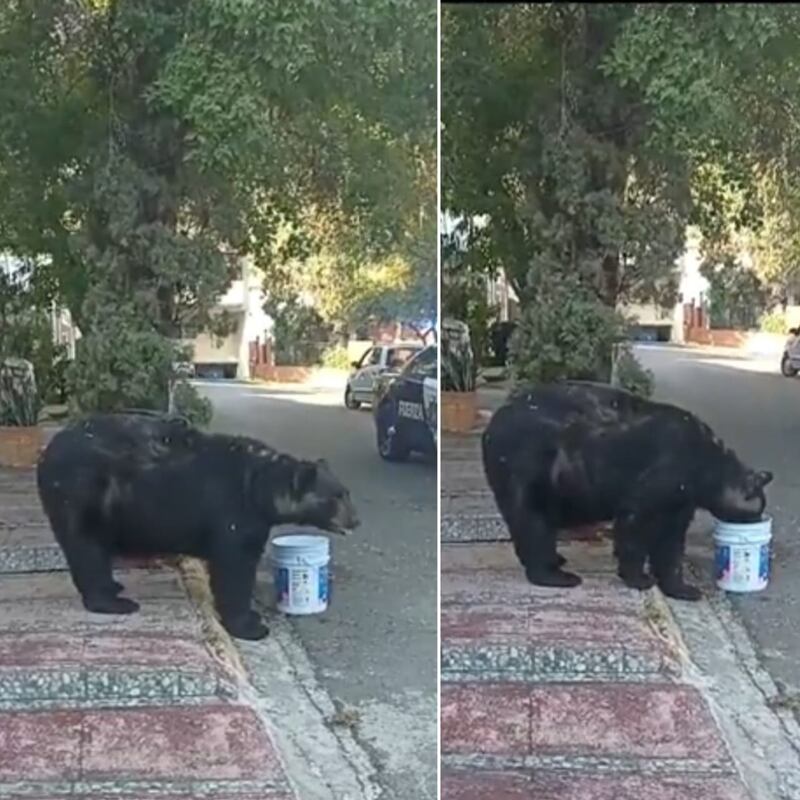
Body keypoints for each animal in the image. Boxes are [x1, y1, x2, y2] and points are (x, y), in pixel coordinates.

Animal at [37, 416, 360, 640]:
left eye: (346, 492)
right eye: (336, 496)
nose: (356, 520)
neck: (259, 487)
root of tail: (47, 453)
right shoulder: (233, 510)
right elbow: (234, 567)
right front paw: (250, 625)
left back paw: (113, 586)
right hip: (82, 493)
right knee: (86, 547)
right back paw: (113, 602)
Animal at [484, 382, 772, 600]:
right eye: (755, 512)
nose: (757, 523)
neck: (706, 465)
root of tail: (491, 426)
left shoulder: (680, 501)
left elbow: (670, 544)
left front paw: (681, 588)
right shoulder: (662, 474)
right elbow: (635, 526)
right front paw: (639, 578)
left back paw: (557, 560)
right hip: (531, 469)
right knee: (533, 524)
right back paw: (555, 574)